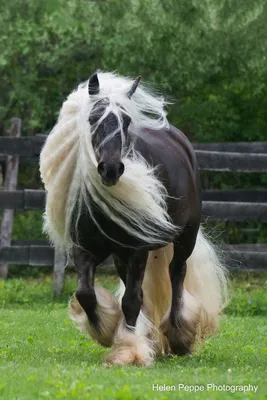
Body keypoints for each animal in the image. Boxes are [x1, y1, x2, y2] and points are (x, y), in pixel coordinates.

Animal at [39, 71, 228, 366]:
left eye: (126, 121)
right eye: (93, 118)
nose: (111, 169)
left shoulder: (137, 249)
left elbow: (130, 300)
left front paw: (128, 349)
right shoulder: (84, 249)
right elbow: (86, 293)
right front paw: (105, 331)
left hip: (185, 237)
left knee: (177, 274)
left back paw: (178, 336)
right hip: (121, 257)